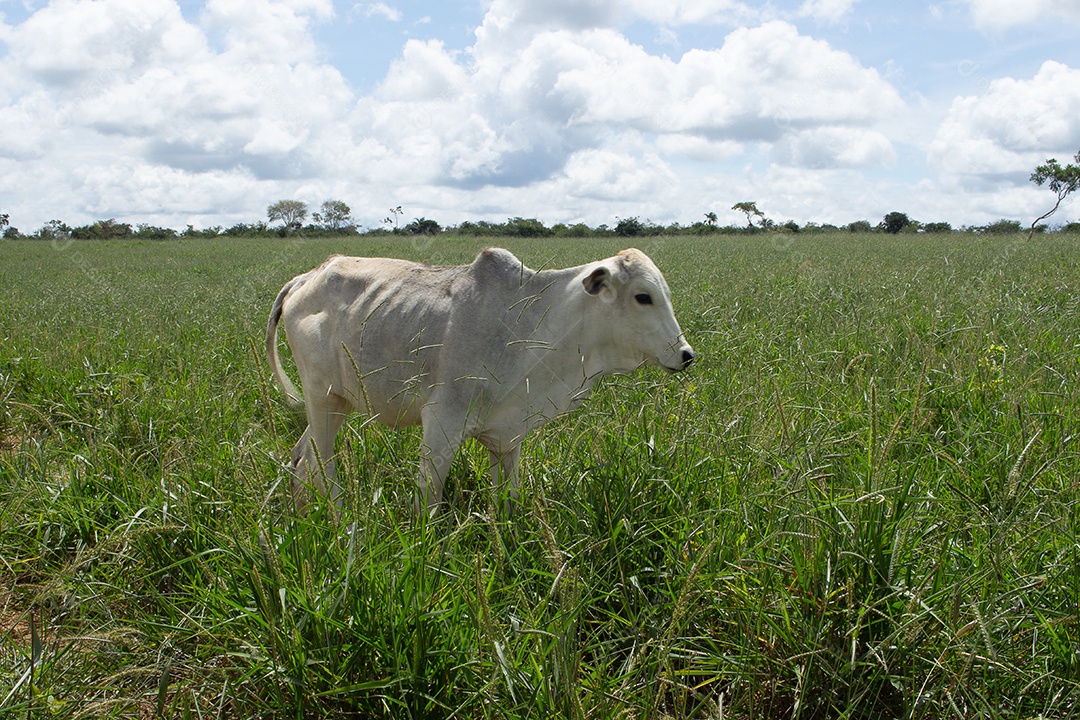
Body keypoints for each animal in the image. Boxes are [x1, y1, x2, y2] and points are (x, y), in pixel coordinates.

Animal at [265, 247, 695, 513]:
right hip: (321, 398)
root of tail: (310, 275)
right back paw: (340, 522)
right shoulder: (441, 423)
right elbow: (428, 500)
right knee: (324, 464)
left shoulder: (507, 437)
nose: (686, 355)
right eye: (643, 296)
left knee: (302, 458)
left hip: (334, 403)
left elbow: (508, 502)